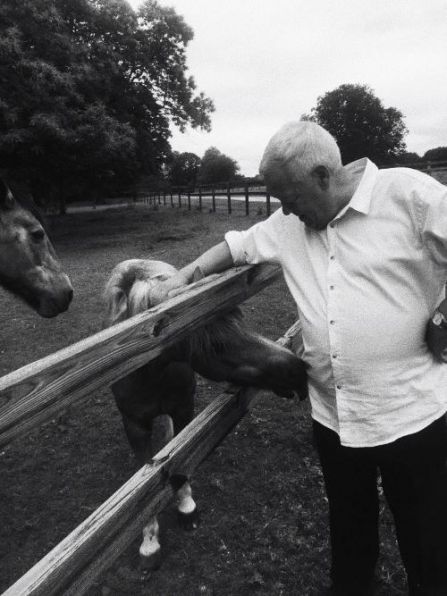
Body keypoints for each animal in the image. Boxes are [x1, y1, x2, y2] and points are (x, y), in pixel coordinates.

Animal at [104, 258, 308, 572]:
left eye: (241, 320)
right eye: (216, 345)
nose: (296, 369)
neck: (148, 373)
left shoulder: (183, 408)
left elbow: (181, 457)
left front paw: (186, 507)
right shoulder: (134, 426)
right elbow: (143, 484)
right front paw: (149, 541)